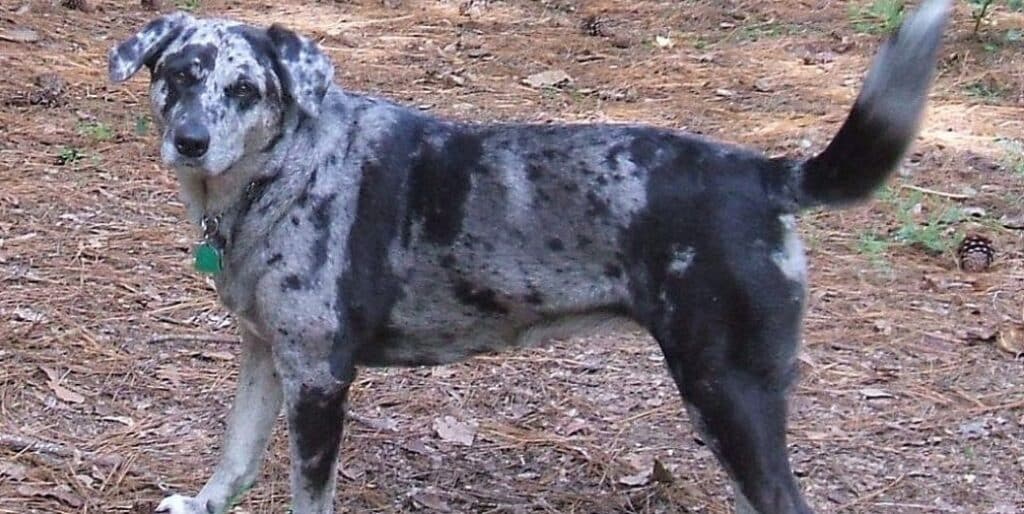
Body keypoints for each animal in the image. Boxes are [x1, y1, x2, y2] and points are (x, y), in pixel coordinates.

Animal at [108, 2, 946, 511]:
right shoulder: (264, 352)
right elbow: (236, 453)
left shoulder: (318, 377)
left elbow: (306, 489)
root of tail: (766, 174)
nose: (190, 141)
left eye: (245, 90)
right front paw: (204, 502)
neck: (286, 171)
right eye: (179, 75)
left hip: (727, 392)